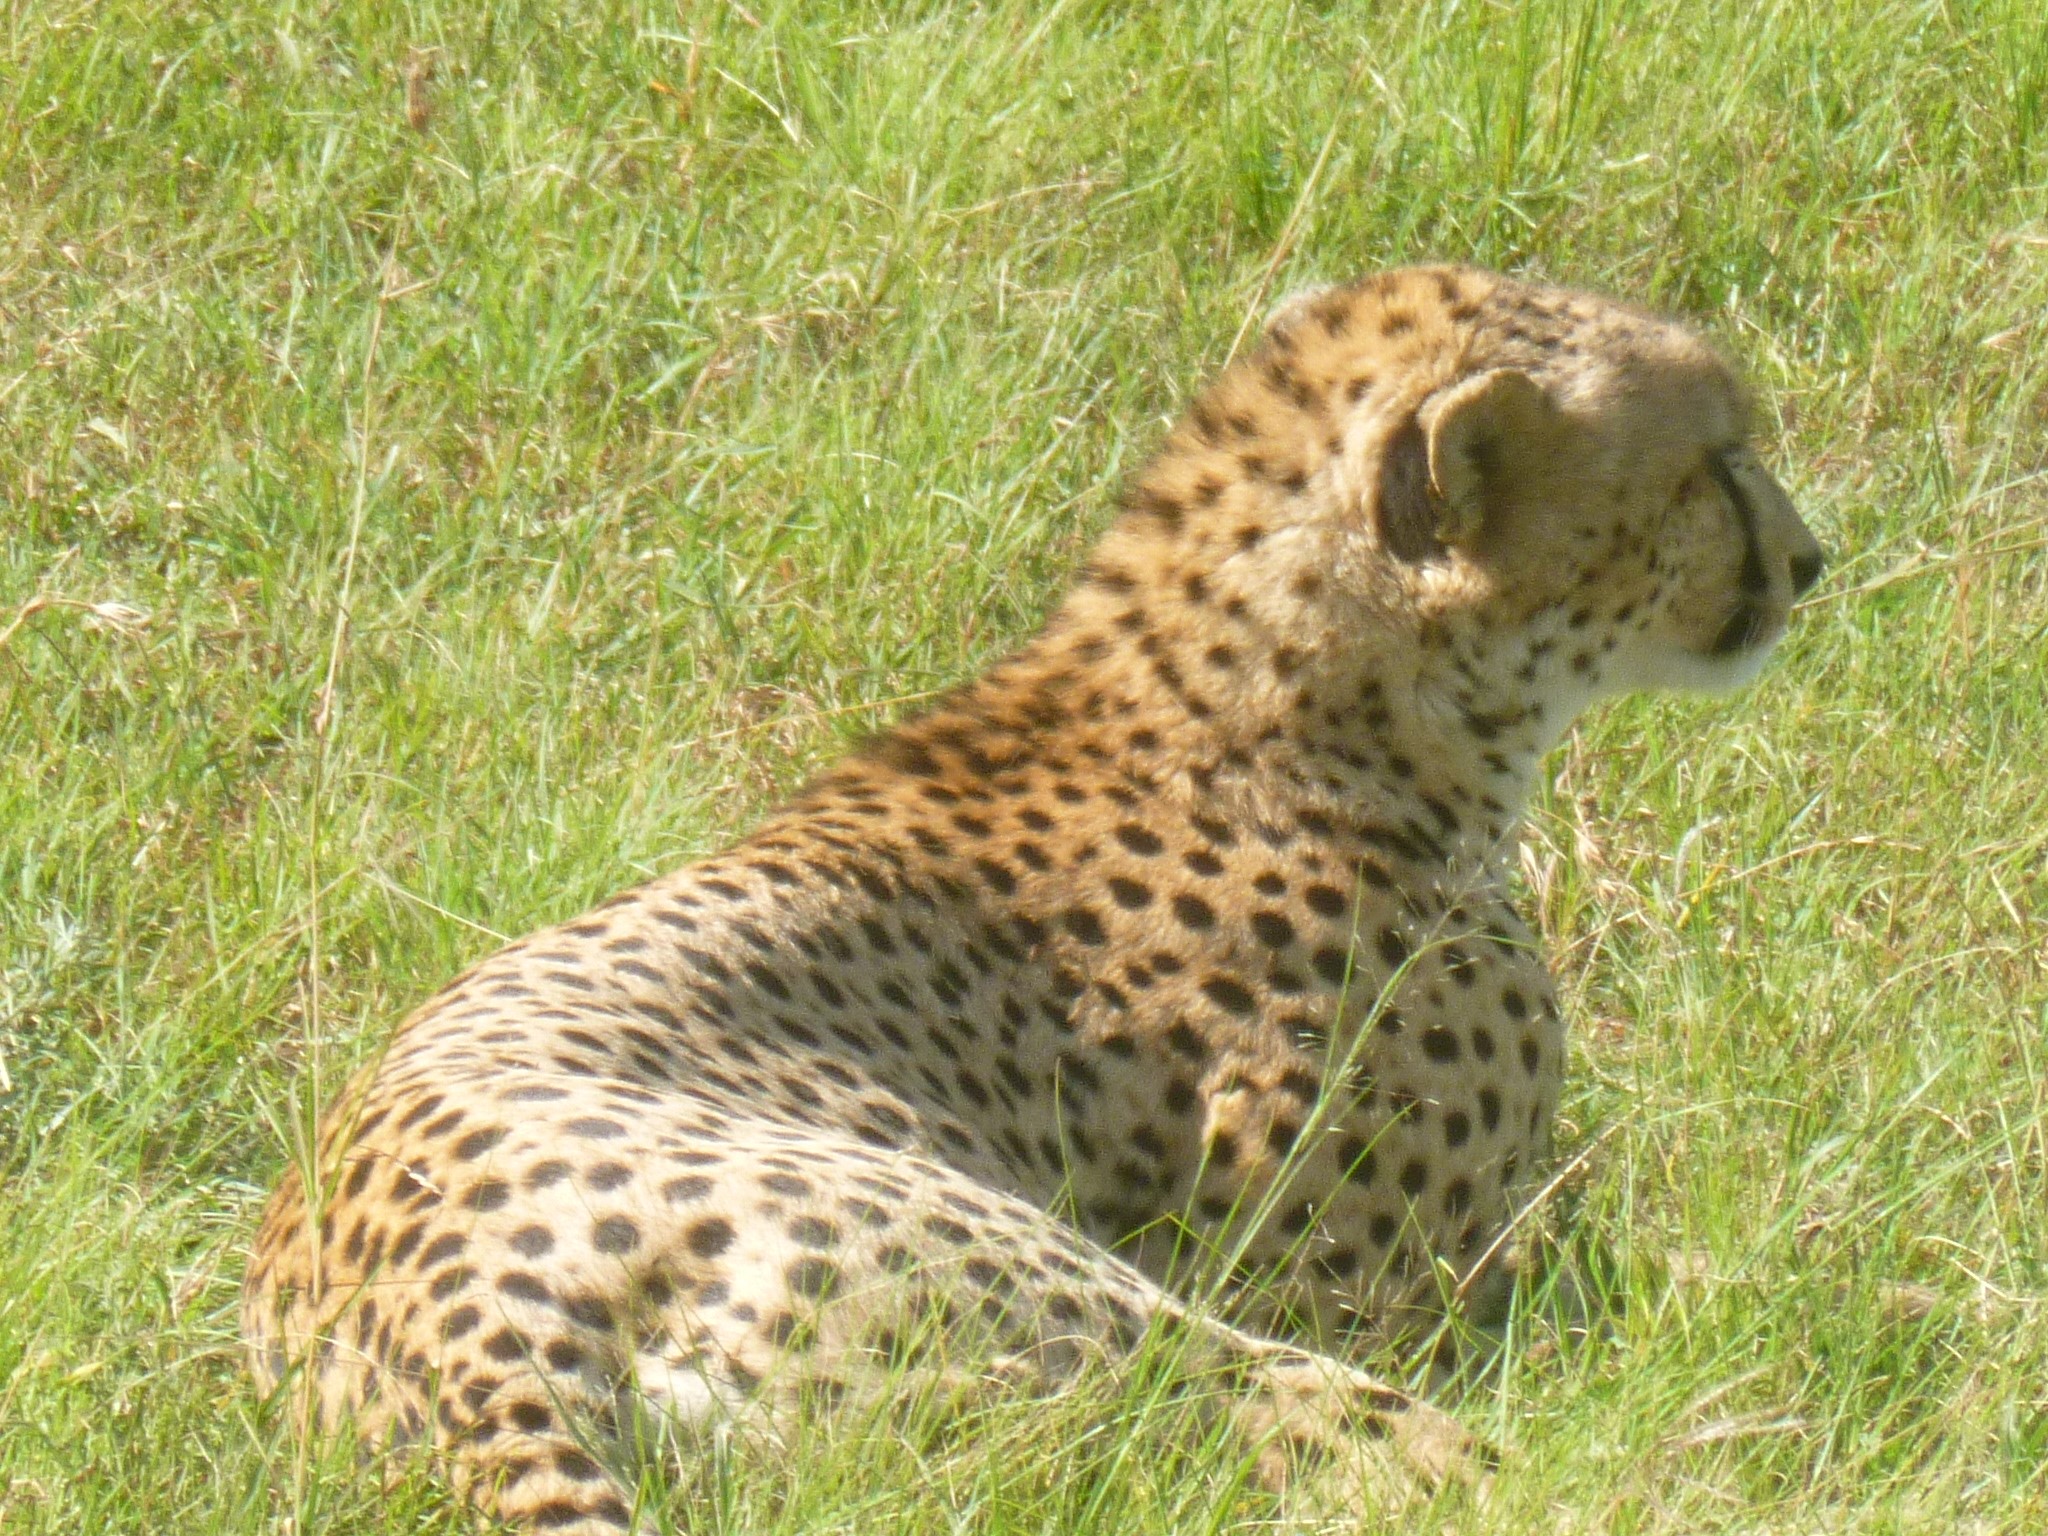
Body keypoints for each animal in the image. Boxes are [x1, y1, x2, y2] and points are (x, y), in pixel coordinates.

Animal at [243, 268, 1826, 1536]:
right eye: (1714, 459)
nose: (1811, 562)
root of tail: (452, 1312)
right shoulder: (1397, 1297)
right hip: (1117, 1329)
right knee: (1495, 1470)